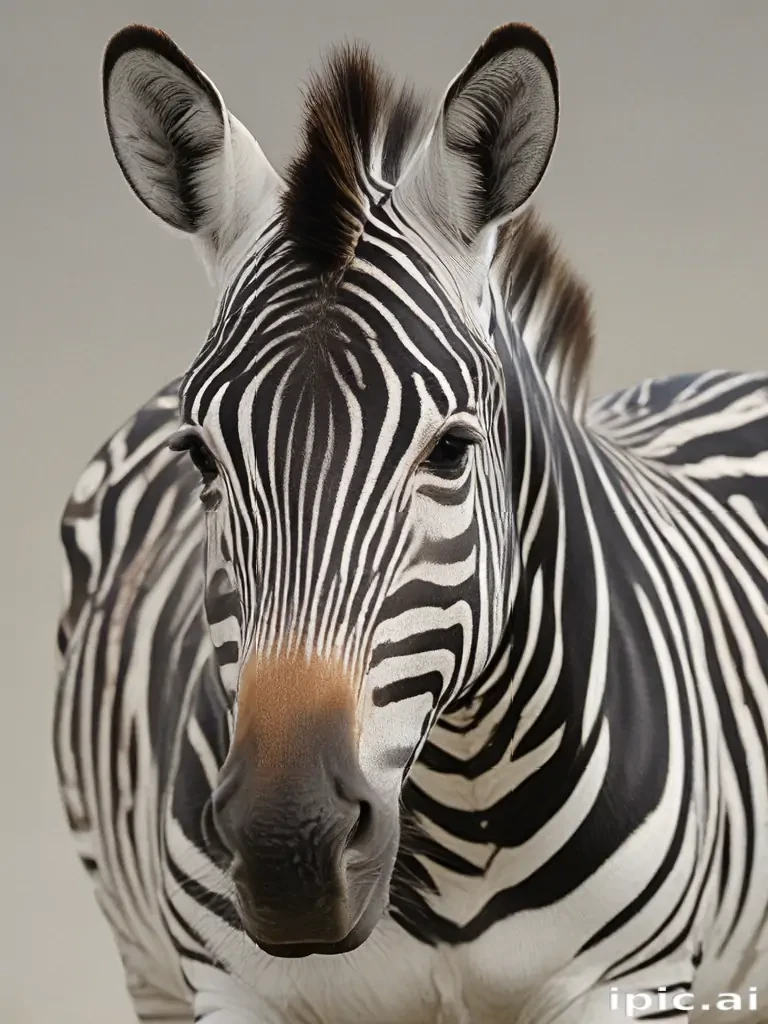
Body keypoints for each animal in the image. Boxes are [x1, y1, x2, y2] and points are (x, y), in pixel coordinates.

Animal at [52, 17, 768, 1024]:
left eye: (453, 451)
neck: (466, 806)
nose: (289, 848)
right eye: (199, 455)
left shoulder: (636, 981)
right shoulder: (225, 984)